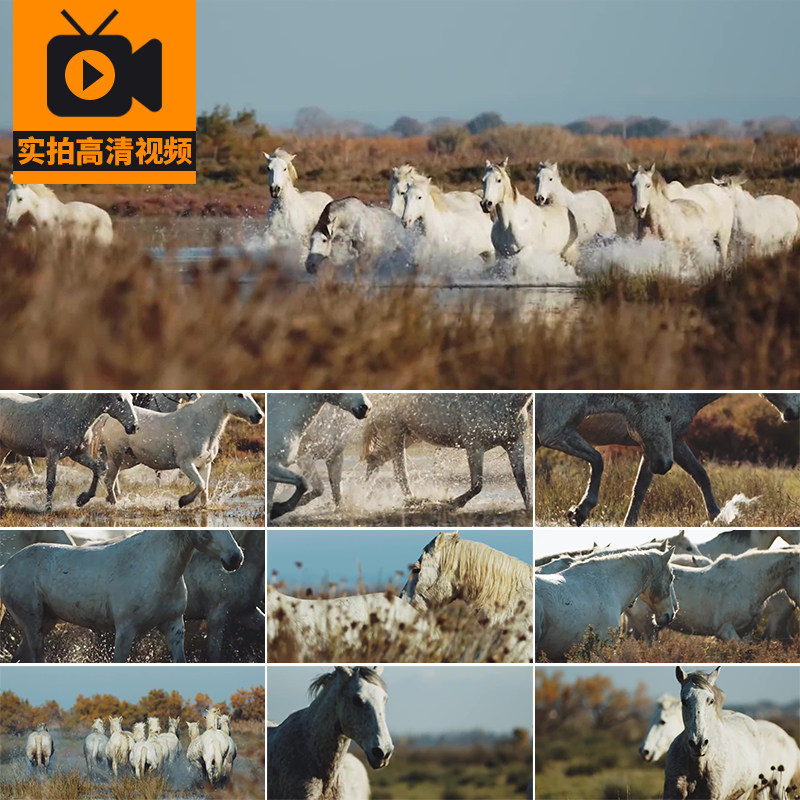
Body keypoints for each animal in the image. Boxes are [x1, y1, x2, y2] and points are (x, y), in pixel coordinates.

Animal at [0, 393, 139, 512]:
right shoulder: (53, 454)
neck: (70, 414)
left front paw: (82, 499)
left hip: (4, 448)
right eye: (119, 398)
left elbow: (98, 468)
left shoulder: (78, 454)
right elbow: (51, 482)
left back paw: (6, 498)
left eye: (132, 398)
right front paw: (48, 509)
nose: (134, 427)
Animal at [0, 529, 244, 662]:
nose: (235, 558)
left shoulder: (173, 625)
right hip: (32, 622)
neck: (154, 568)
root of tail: (5, 566)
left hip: (45, 620)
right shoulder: (126, 630)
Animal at [87, 392, 263, 507]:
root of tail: (108, 417)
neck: (200, 424)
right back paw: (114, 503)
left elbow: (204, 488)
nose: (259, 416)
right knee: (109, 479)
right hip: (117, 455)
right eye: (239, 395)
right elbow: (200, 484)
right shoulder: (185, 463)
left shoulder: (205, 464)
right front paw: (183, 501)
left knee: (109, 475)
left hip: (128, 459)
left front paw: (203, 507)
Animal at [362, 393, 532, 509]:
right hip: (394, 434)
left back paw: (361, 497)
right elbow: (477, 485)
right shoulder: (474, 446)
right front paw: (453, 503)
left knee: (375, 460)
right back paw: (414, 501)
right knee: (399, 473)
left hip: (408, 436)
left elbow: (521, 482)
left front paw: (529, 508)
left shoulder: (515, 444)